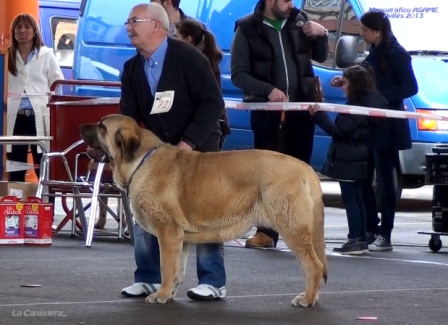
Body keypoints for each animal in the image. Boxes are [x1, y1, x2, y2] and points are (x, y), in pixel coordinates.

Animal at [79, 113, 328, 306]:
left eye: (102, 126)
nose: (81, 126)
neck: (140, 160)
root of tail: (307, 169)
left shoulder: (168, 233)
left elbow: (166, 267)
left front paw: (160, 295)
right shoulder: (180, 238)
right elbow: (177, 269)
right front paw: (169, 294)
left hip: (292, 229)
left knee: (314, 266)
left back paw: (307, 300)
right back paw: (311, 297)